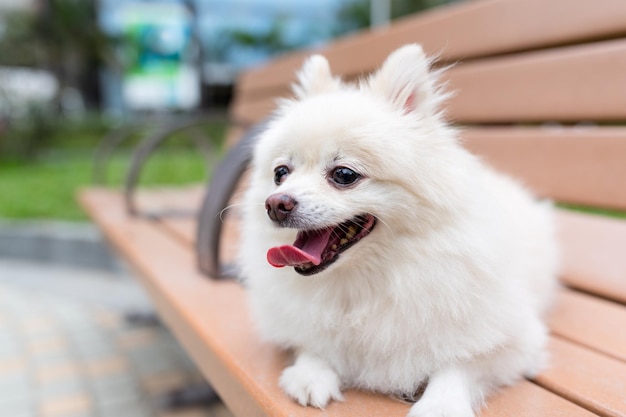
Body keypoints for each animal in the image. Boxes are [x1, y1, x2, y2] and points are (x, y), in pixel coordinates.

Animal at [238, 44, 556, 416]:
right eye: (281, 173)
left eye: (344, 175)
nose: (276, 203)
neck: (363, 283)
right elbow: (312, 342)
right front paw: (311, 373)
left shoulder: (516, 341)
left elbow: (460, 364)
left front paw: (440, 404)